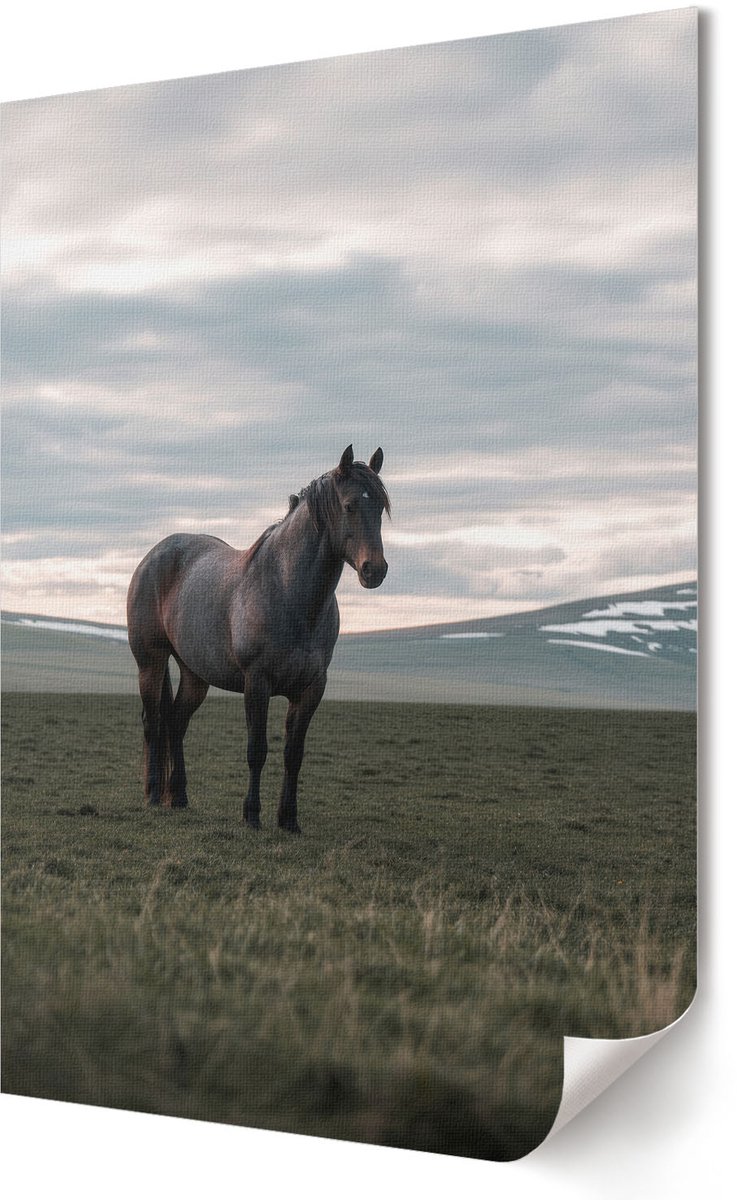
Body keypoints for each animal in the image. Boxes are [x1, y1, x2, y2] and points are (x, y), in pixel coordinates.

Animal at [126, 445, 389, 832]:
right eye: (350, 505)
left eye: (381, 507)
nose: (376, 570)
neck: (289, 593)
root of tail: (154, 555)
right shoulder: (257, 682)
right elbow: (257, 750)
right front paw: (251, 815)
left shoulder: (312, 687)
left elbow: (294, 754)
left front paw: (289, 819)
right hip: (151, 662)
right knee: (153, 722)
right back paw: (154, 795)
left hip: (195, 675)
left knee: (175, 722)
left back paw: (180, 796)